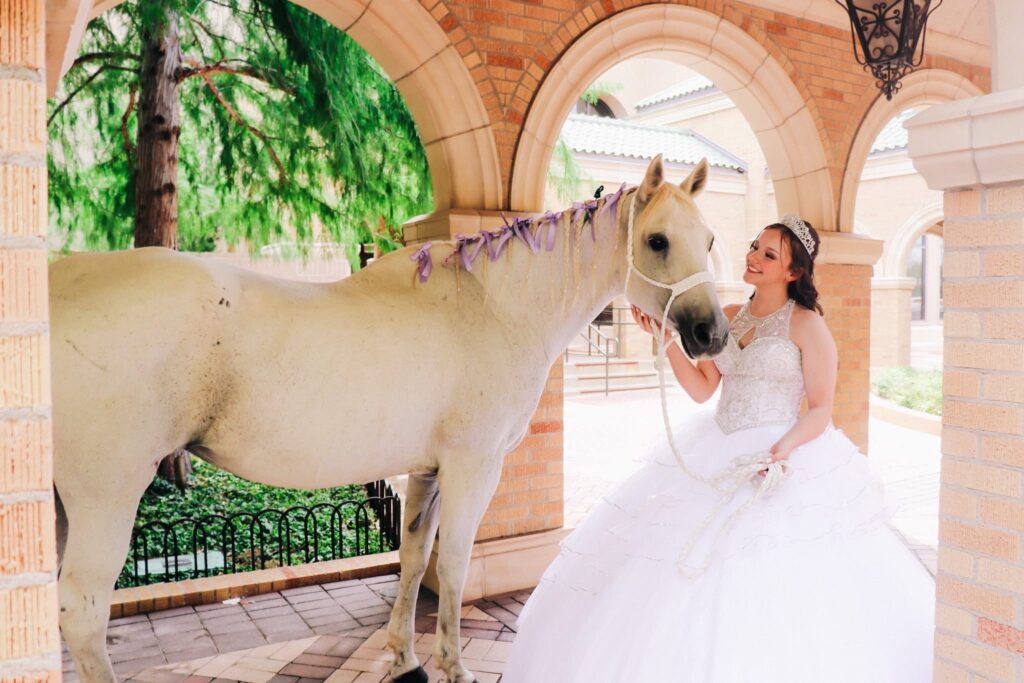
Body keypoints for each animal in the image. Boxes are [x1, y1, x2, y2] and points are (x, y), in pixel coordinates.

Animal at [51, 154, 728, 683]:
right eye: (657, 241)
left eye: (711, 240)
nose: (711, 333)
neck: (492, 305)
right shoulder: (472, 468)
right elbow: (453, 566)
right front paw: (454, 665)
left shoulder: (425, 472)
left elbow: (413, 558)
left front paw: (406, 658)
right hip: (107, 494)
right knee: (82, 613)